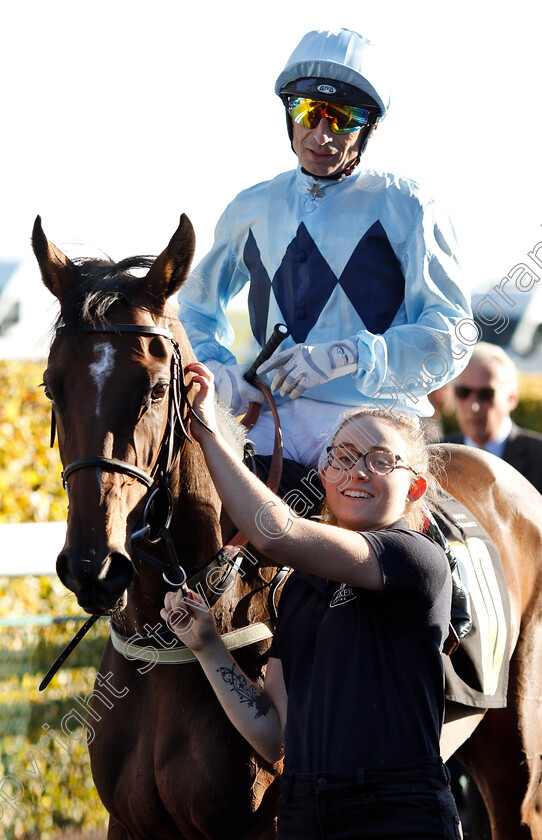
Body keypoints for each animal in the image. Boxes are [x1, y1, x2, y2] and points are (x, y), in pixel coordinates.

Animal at [33, 217, 542, 840]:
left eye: (156, 389)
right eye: (52, 385)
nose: (93, 567)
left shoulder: (269, 822)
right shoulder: (130, 824)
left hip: (512, 749)